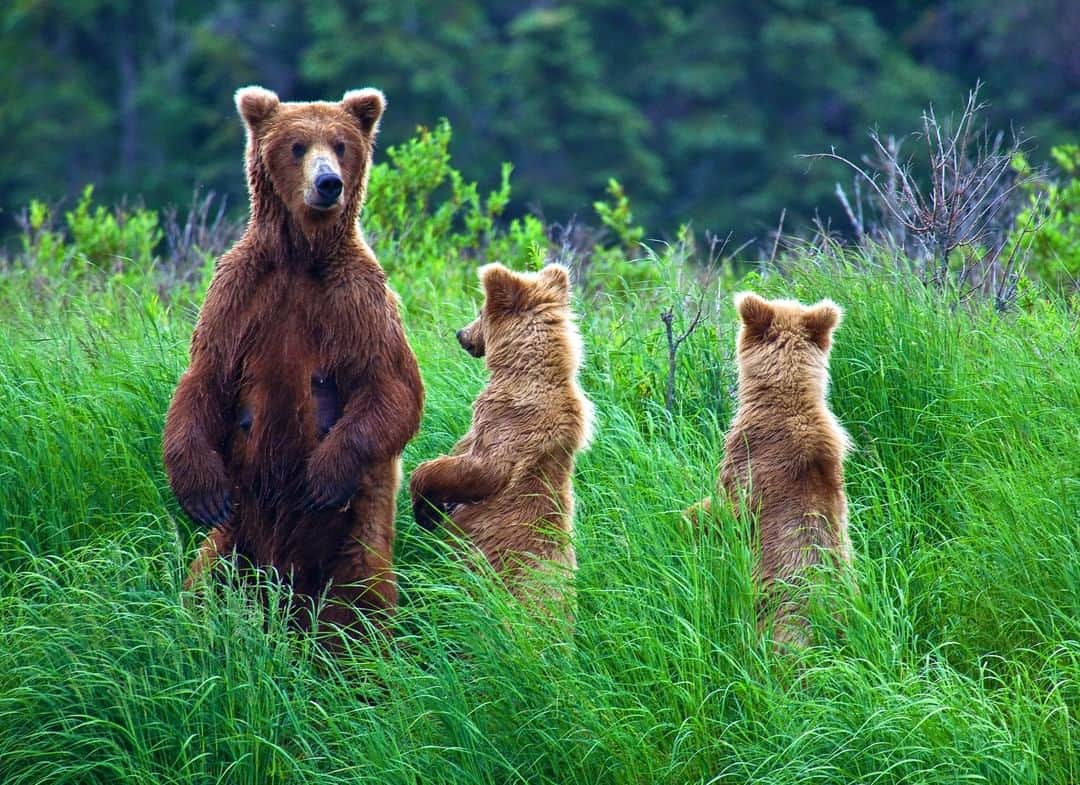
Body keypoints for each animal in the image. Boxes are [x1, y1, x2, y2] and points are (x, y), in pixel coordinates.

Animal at [163, 85, 424, 636]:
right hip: (235, 538)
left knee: (359, 605)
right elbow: (204, 379)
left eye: (341, 145)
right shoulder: (239, 294)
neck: (301, 256)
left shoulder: (356, 300)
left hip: (350, 545)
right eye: (298, 145)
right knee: (205, 583)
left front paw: (323, 476)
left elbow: (391, 388)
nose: (328, 184)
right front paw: (200, 491)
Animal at [408, 263, 593, 608]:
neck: (522, 372)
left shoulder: (509, 423)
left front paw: (425, 505)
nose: (461, 334)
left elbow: (479, 469)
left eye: (480, 311)